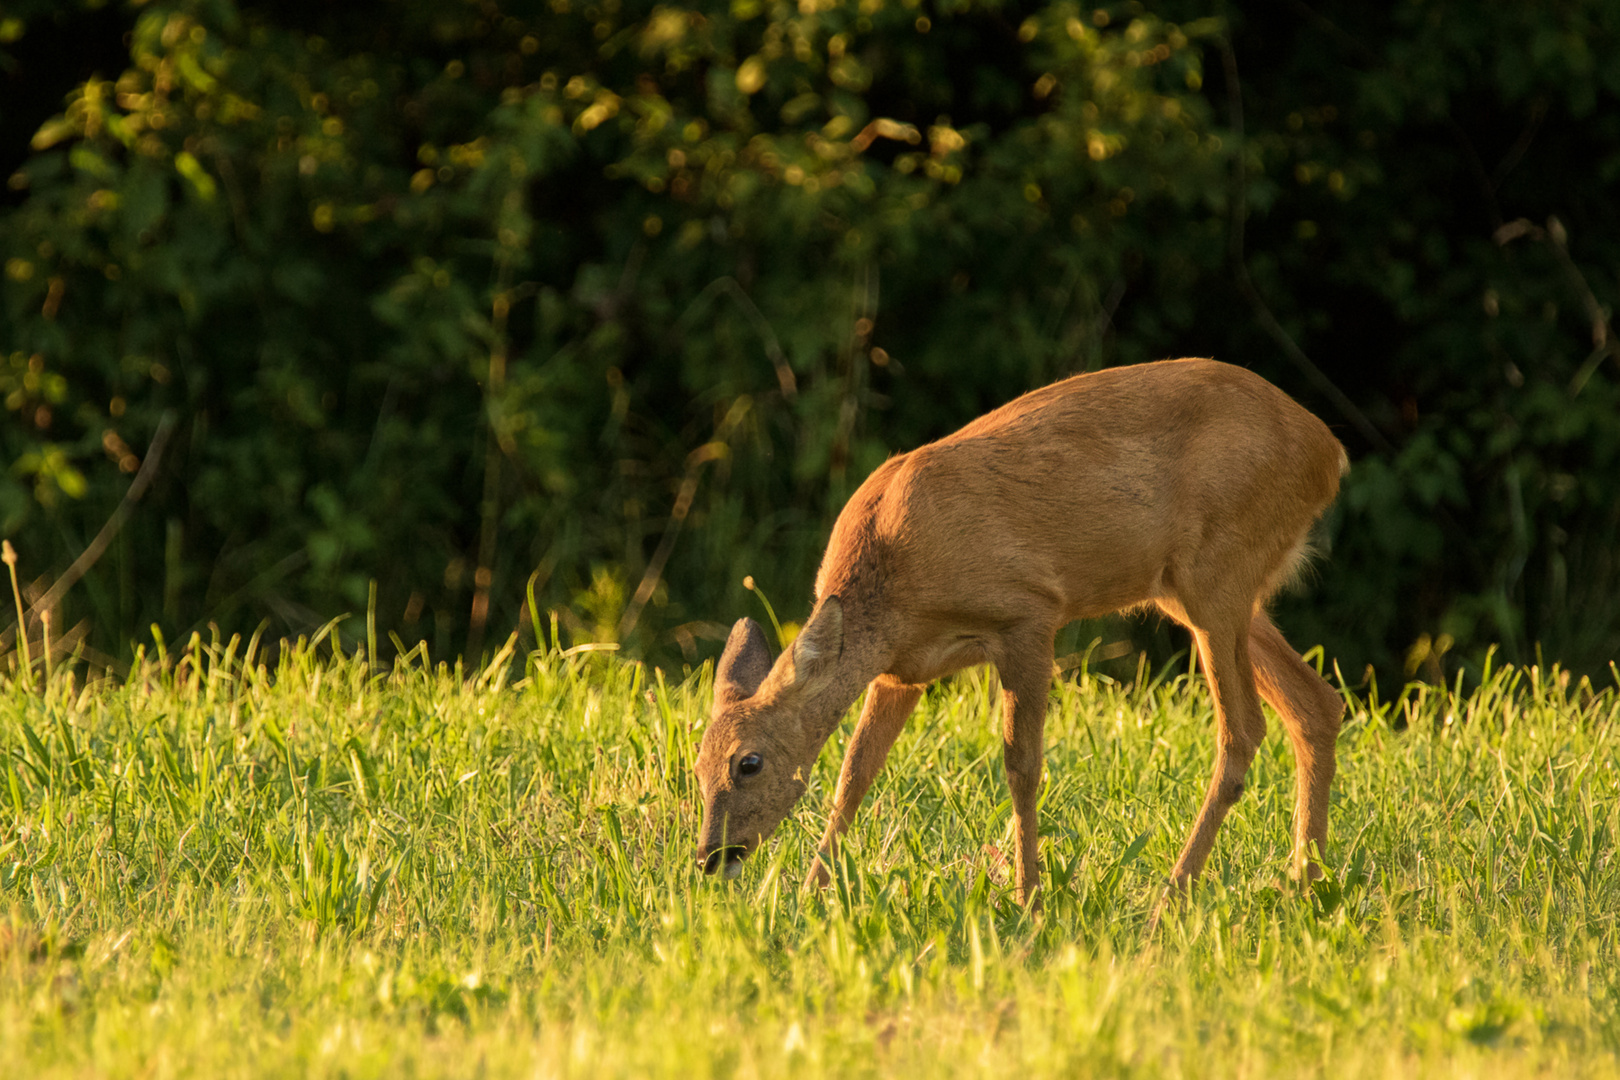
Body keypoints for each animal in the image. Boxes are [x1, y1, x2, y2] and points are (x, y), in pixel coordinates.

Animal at [690, 356, 1347, 913]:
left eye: (748, 763)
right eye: (696, 766)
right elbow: (854, 774)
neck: (894, 586)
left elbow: (1021, 765)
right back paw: (1306, 884)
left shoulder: (1029, 613)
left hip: (1217, 572)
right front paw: (809, 893)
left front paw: (1028, 896)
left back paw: (1172, 897)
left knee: (1244, 728)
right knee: (1315, 702)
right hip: (1197, 590)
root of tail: (1328, 451)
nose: (709, 857)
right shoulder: (903, 672)